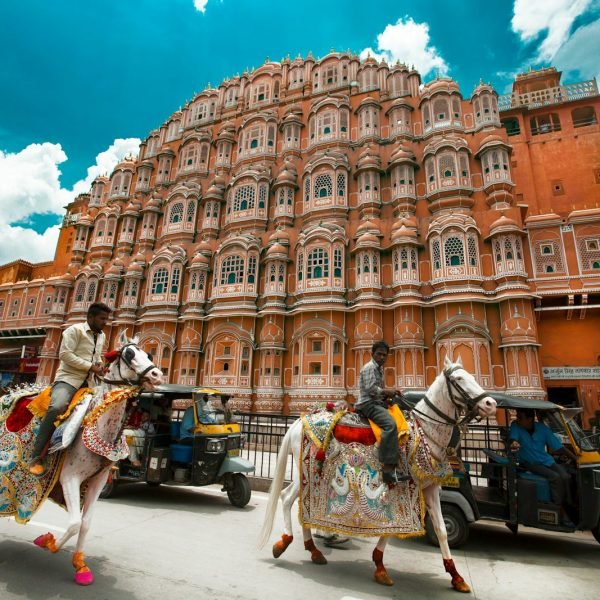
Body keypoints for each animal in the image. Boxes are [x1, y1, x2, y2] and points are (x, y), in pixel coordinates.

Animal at [0, 330, 164, 584]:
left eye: (149, 355)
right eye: (128, 354)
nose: (157, 374)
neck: (101, 427)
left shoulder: (98, 479)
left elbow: (85, 524)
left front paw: (80, 565)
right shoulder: (69, 476)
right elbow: (74, 523)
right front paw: (48, 542)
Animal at [258, 358, 496, 592]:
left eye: (471, 376)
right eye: (458, 379)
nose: (490, 404)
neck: (425, 433)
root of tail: (299, 421)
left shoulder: (430, 487)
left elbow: (441, 529)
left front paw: (456, 576)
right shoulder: (404, 486)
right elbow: (394, 526)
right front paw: (380, 567)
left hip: (305, 473)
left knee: (294, 501)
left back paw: (313, 550)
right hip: (306, 471)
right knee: (287, 498)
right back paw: (286, 543)